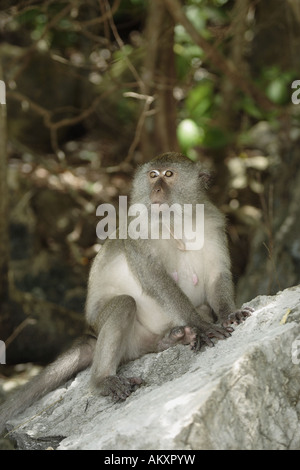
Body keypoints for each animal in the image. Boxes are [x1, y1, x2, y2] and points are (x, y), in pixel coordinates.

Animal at [0, 153, 251, 434]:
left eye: (169, 174)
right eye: (153, 175)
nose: (156, 190)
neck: (177, 220)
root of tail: (92, 334)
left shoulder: (212, 223)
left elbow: (218, 274)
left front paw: (228, 313)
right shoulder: (138, 232)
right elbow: (154, 278)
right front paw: (200, 325)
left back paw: (170, 340)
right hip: (118, 334)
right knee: (123, 304)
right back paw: (103, 380)